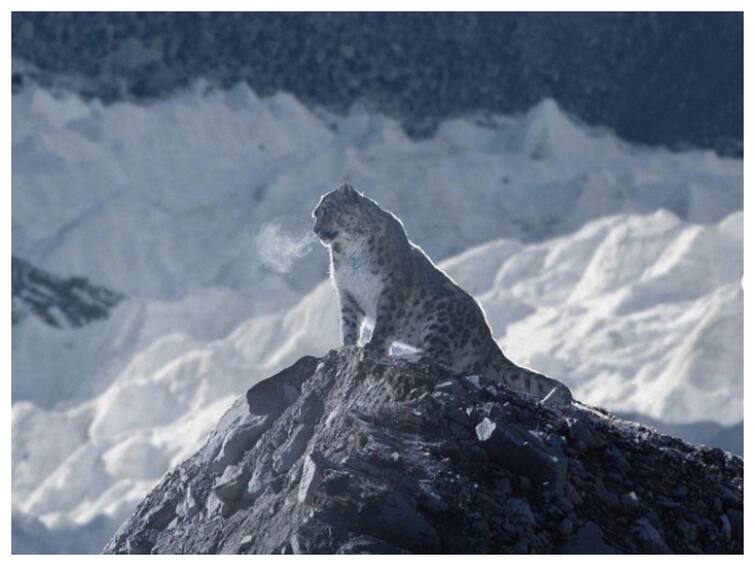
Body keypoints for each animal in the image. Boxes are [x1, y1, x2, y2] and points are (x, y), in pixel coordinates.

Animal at [314, 184, 572, 406]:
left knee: (440, 356)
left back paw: (407, 357)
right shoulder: (347, 293)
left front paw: (372, 349)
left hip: (441, 317)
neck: (351, 252)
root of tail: (490, 343)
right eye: (315, 214)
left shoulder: (392, 292)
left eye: (327, 210)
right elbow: (349, 325)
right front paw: (346, 348)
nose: (315, 229)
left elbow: (384, 326)